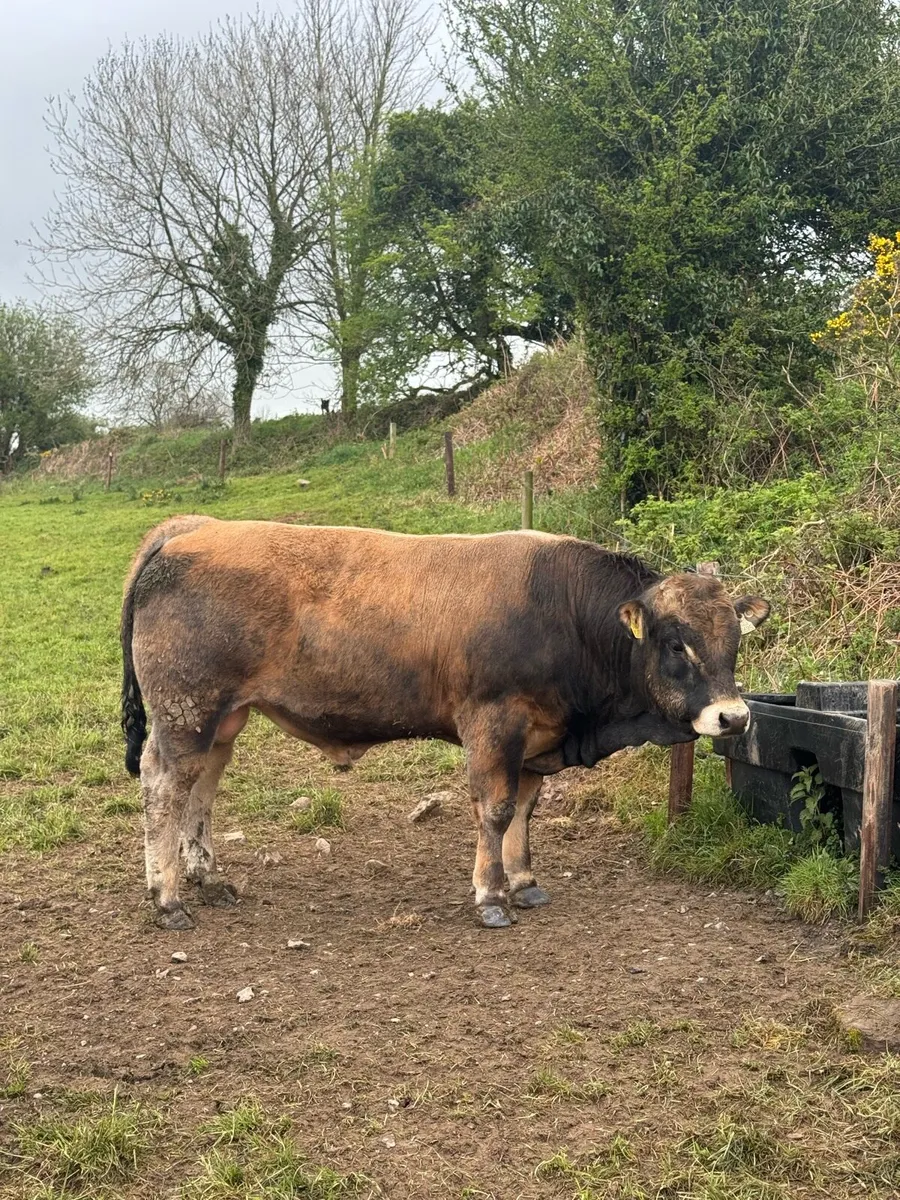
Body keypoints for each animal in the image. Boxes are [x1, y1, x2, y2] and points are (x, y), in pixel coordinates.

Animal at [121, 516, 770, 931]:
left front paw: (523, 881)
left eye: (735, 641)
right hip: (185, 712)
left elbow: (525, 809)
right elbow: (497, 809)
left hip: (220, 719)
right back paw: (168, 898)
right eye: (675, 644)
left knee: (201, 788)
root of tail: (192, 528)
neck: (562, 610)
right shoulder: (493, 721)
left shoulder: (536, 737)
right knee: (163, 787)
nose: (733, 716)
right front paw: (490, 896)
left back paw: (207, 879)